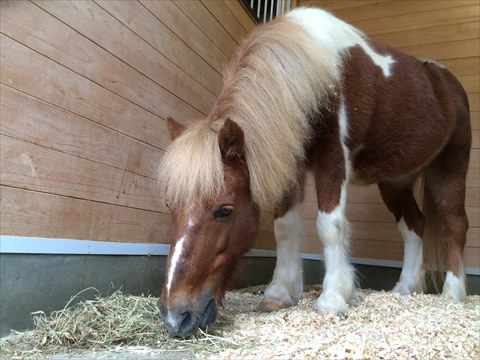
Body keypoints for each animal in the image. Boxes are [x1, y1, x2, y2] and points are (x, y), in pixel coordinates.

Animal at [157, 6, 468, 338]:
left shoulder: (333, 159)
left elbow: (329, 226)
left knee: (454, 225)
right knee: (414, 226)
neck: (320, 77)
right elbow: (284, 228)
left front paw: (333, 299)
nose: (175, 316)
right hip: (395, 182)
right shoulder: (289, 161)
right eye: (170, 206)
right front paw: (278, 294)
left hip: (449, 169)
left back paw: (453, 294)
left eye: (225, 210)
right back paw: (405, 288)